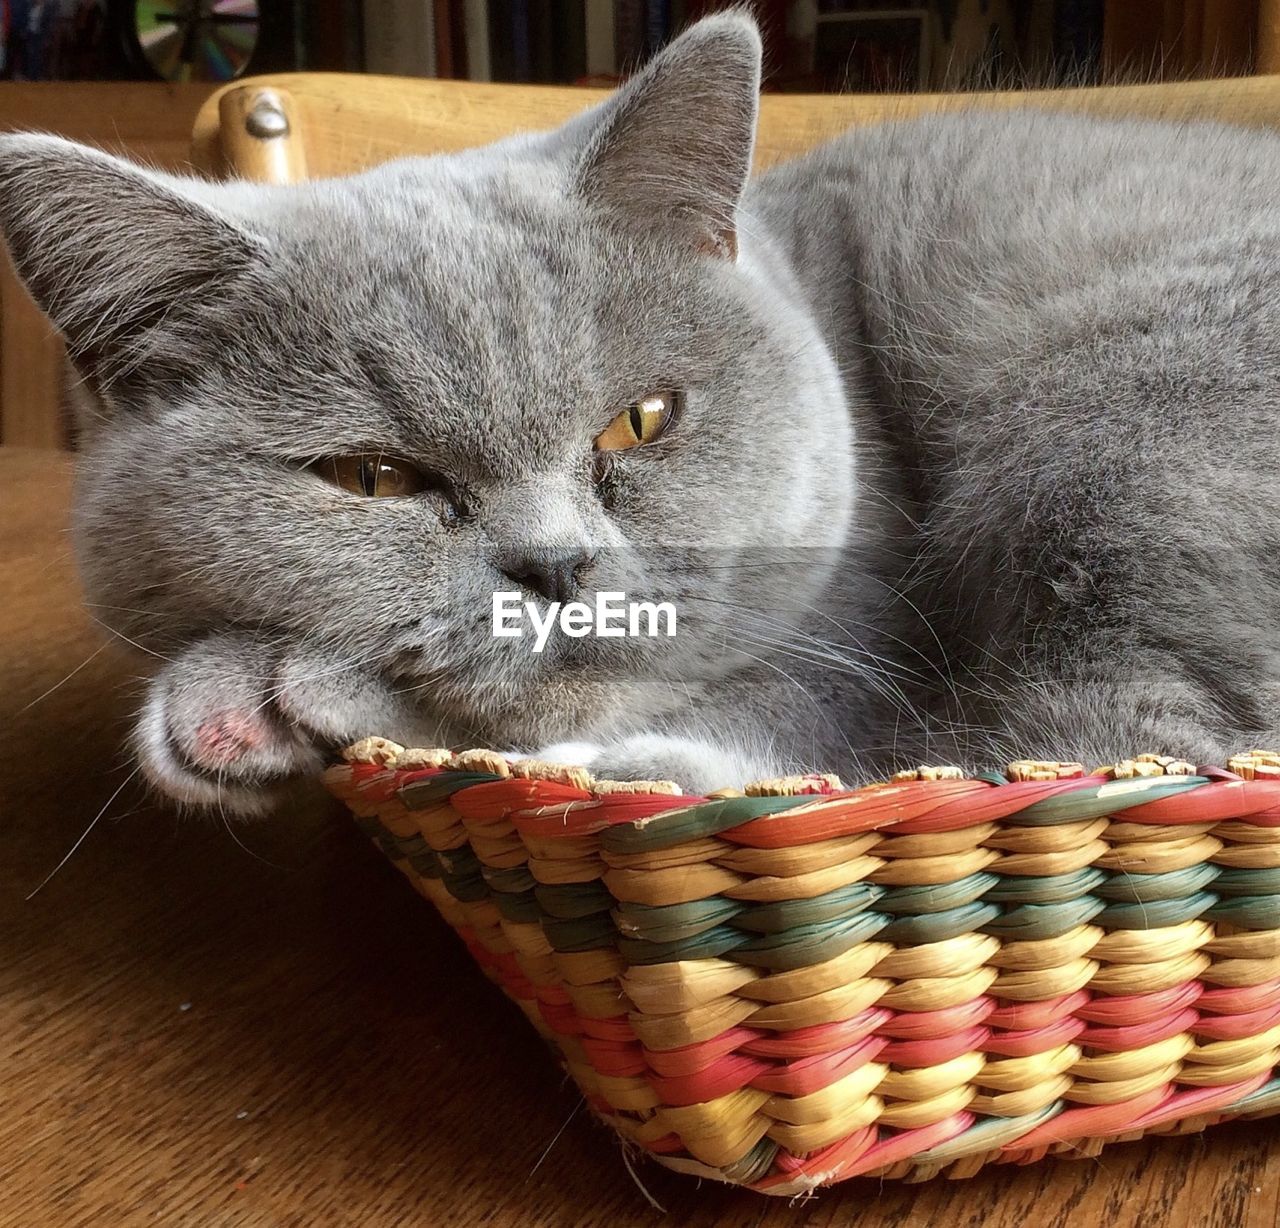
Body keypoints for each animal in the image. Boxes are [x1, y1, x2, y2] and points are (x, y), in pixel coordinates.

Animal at [2, 12, 1280, 814]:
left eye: (641, 421)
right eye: (372, 479)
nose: (557, 565)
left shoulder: (862, 626)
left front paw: (265, 695)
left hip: (1116, 429)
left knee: (1137, 743)